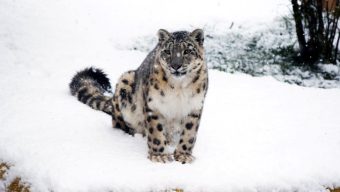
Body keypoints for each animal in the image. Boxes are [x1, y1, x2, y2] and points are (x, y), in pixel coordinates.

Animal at [69, 28, 207, 164]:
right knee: (118, 123)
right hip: (125, 83)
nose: (175, 65)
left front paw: (183, 155)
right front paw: (159, 156)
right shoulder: (153, 105)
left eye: (187, 51)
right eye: (168, 51)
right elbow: (156, 132)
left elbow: (189, 133)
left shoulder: (194, 107)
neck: (178, 87)